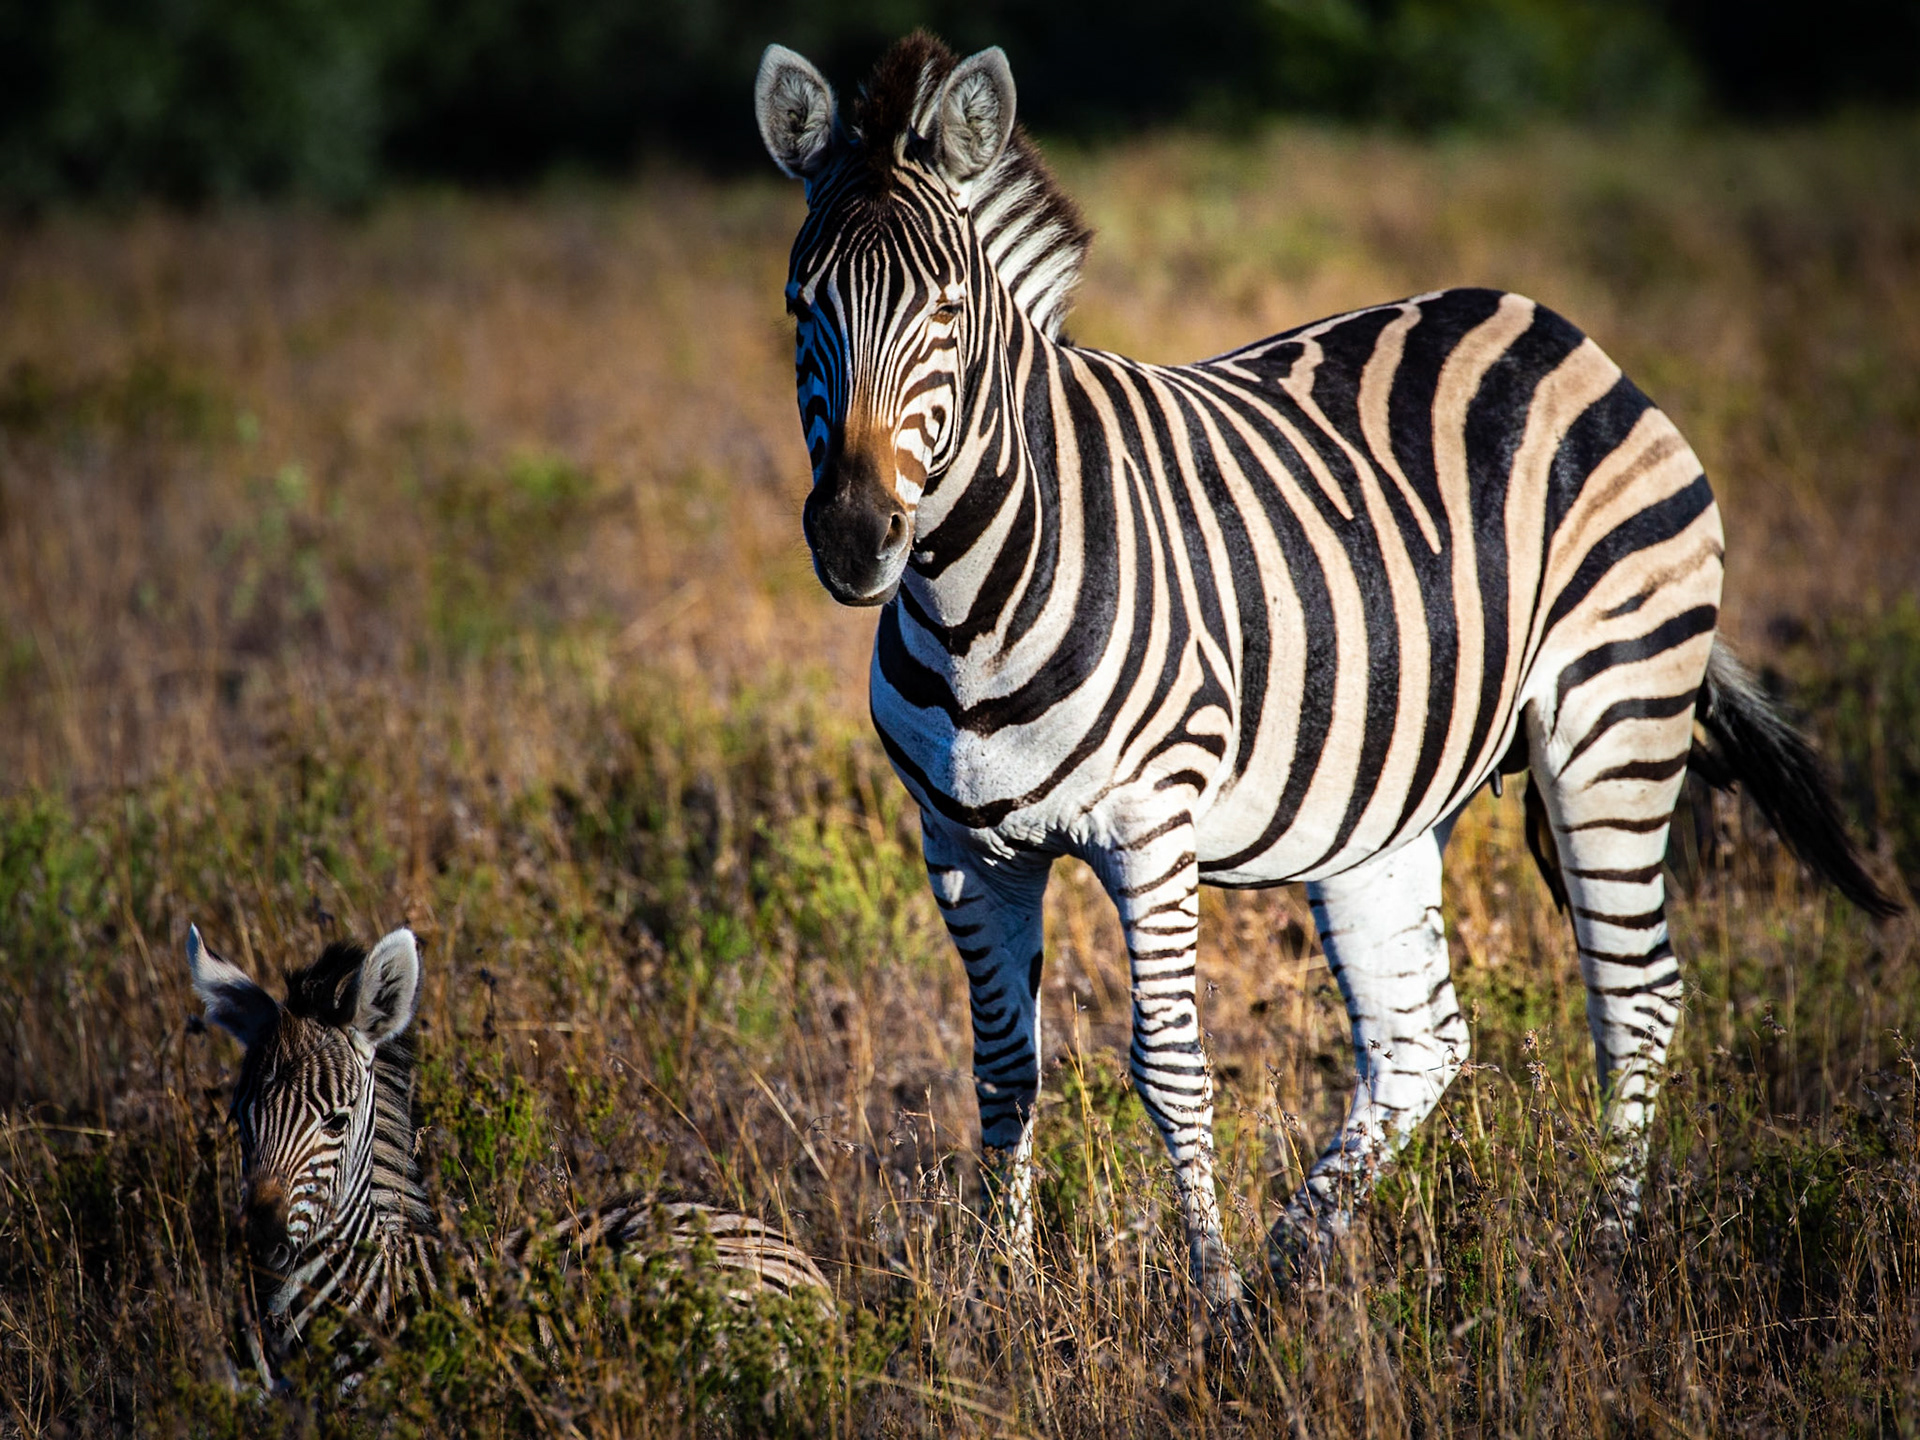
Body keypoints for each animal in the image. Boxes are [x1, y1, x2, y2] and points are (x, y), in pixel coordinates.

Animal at [752, 32, 1900, 1308]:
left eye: (948, 309)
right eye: (800, 307)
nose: (854, 539)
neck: (970, 605)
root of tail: (1560, 331)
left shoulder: (1153, 827)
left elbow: (1170, 1065)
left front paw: (1205, 1302)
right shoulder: (957, 846)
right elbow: (1005, 1068)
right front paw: (1008, 1303)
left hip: (1617, 715)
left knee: (1635, 997)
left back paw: (1599, 1264)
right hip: (1385, 804)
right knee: (1420, 1042)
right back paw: (1292, 1274)